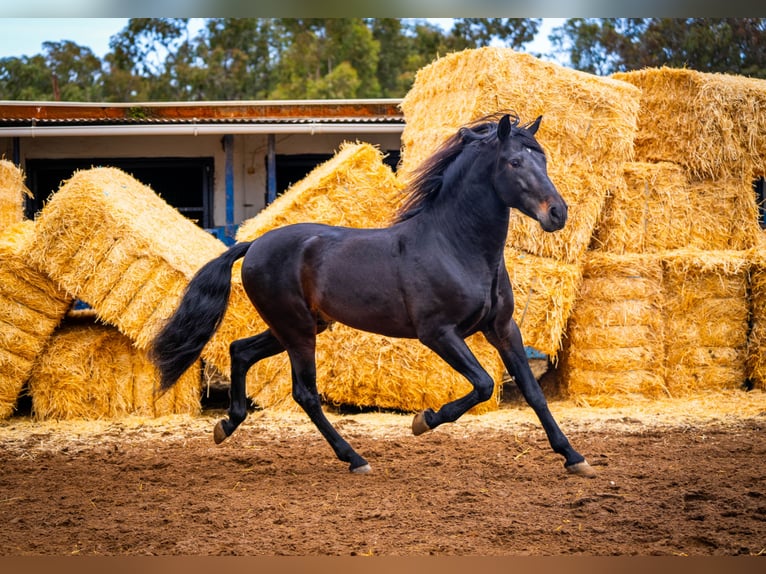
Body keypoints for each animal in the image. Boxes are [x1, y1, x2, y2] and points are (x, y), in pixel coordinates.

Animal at [153, 111, 596, 476]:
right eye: (514, 162)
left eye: (543, 160)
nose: (558, 213)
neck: (456, 246)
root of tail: (255, 244)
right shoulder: (438, 333)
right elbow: (484, 384)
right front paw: (423, 421)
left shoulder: (502, 328)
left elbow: (533, 392)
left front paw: (574, 458)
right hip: (297, 330)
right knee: (305, 393)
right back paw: (355, 458)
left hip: (298, 326)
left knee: (240, 351)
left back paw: (227, 425)